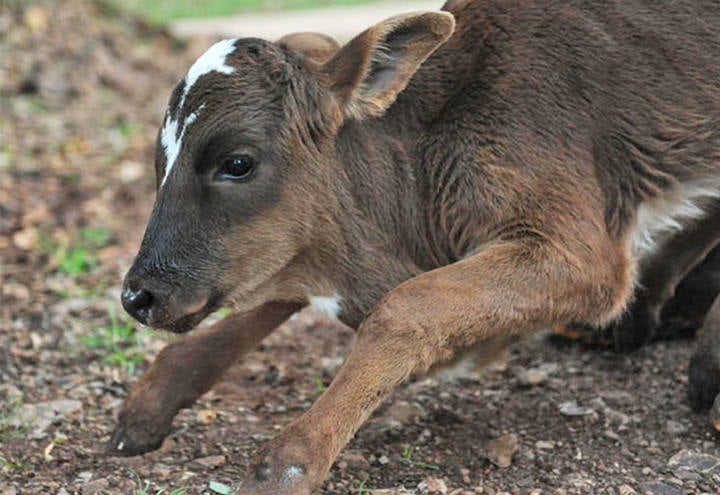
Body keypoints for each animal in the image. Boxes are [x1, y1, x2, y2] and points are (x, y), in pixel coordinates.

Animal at [109, 1, 720, 494]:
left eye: (237, 162)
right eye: (159, 161)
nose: (138, 296)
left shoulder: (580, 252)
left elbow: (406, 306)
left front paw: (285, 464)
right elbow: (270, 297)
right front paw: (146, 407)